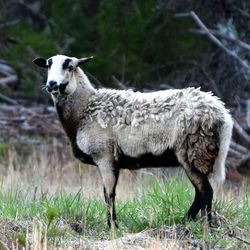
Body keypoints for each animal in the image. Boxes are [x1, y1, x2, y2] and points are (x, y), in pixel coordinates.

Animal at [32, 54, 233, 229]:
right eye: (48, 65)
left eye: (70, 66)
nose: (52, 84)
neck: (84, 109)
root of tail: (223, 116)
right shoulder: (112, 160)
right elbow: (109, 194)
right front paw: (113, 225)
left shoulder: (104, 156)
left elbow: (108, 195)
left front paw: (112, 227)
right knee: (202, 192)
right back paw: (188, 221)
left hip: (193, 150)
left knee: (205, 191)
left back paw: (203, 225)